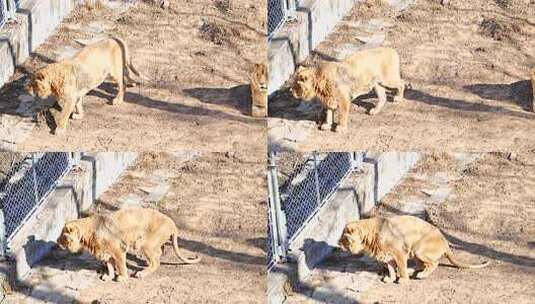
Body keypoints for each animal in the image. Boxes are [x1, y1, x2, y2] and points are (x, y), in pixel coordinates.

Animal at [57, 208, 201, 282]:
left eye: (63, 235)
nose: (57, 242)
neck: (87, 235)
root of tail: (173, 223)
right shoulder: (106, 252)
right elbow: (110, 266)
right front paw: (109, 276)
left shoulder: (118, 250)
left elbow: (120, 265)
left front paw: (122, 277)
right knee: (159, 254)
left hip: (145, 244)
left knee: (156, 262)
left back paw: (142, 273)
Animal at [340, 215, 490, 284]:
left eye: (344, 238)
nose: (338, 243)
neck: (369, 237)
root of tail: (446, 242)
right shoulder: (388, 256)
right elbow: (391, 268)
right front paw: (391, 278)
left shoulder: (399, 252)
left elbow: (400, 266)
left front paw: (403, 280)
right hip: (415, 252)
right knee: (421, 265)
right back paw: (412, 270)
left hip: (419, 249)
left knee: (433, 263)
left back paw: (421, 275)